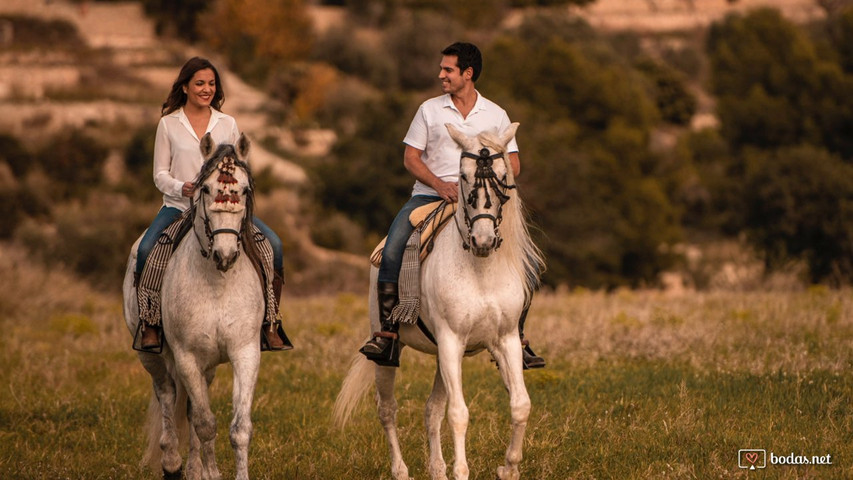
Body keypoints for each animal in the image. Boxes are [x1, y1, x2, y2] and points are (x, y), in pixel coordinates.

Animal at [123, 132, 266, 480]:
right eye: (206, 189)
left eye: (244, 189)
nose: (226, 255)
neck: (217, 283)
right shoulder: (186, 357)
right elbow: (204, 424)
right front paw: (210, 473)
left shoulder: (245, 352)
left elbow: (239, 428)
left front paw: (215, 472)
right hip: (153, 358)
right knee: (168, 396)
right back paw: (173, 465)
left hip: (208, 365)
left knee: (187, 407)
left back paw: (193, 468)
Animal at [336, 123, 544, 480]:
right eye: (462, 175)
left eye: (503, 174)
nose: (483, 240)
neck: (480, 269)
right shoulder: (450, 341)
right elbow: (458, 414)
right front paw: (462, 471)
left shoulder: (504, 341)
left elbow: (520, 404)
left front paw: (509, 468)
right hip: (391, 352)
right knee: (387, 409)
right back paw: (401, 471)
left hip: (443, 357)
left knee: (431, 409)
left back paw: (437, 469)